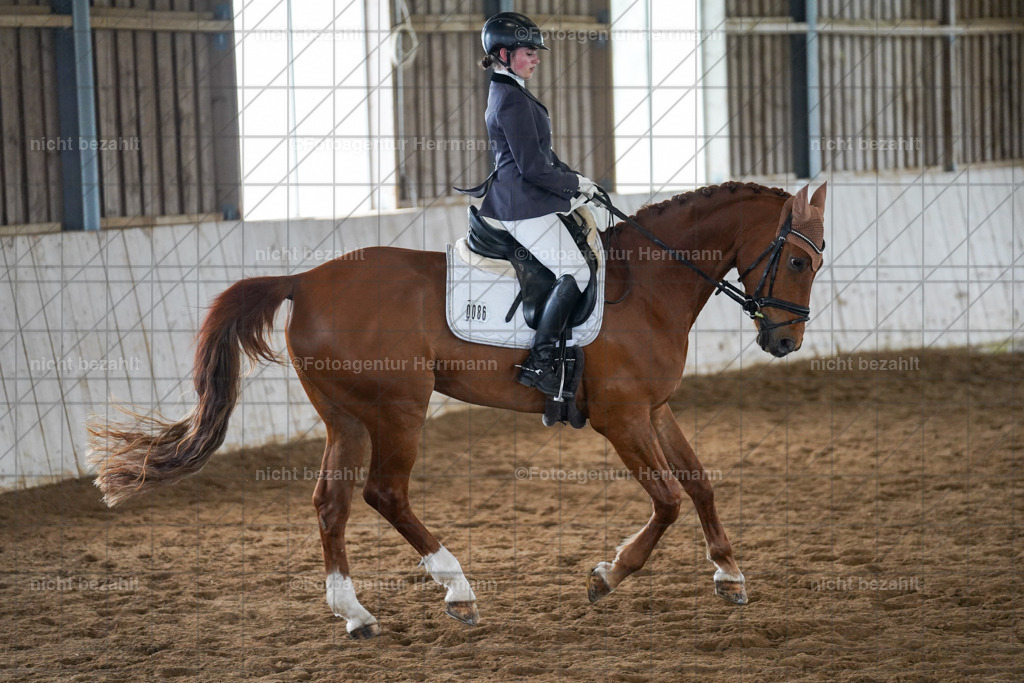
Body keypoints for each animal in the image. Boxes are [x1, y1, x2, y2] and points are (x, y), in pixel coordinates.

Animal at [88, 181, 828, 639]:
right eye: (796, 260)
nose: (784, 342)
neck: (646, 282)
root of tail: (304, 279)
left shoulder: (656, 407)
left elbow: (699, 483)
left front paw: (729, 573)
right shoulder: (621, 417)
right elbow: (668, 499)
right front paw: (607, 576)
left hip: (346, 417)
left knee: (331, 502)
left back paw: (354, 613)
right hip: (398, 409)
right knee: (384, 493)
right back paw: (458, 589)